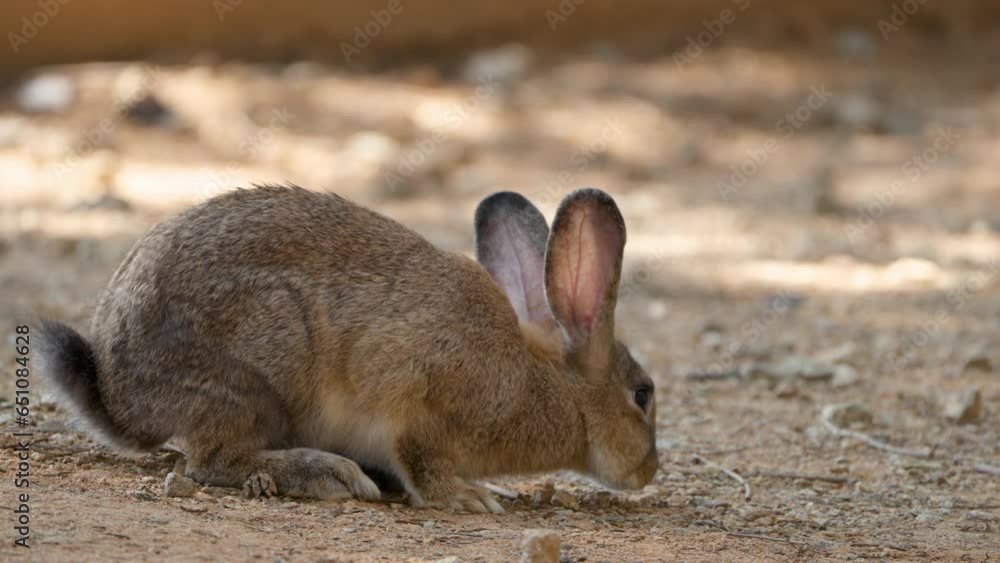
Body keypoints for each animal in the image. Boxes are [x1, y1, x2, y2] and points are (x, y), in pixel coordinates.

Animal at [37, 184, 658, 513]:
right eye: (643, 394)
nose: (649, 470)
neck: (549, 382)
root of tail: (120, 394)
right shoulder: (422, 400)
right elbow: (422, 460)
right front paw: (470, 497)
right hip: (260, 374)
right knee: (214, 460)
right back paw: (329, 475)